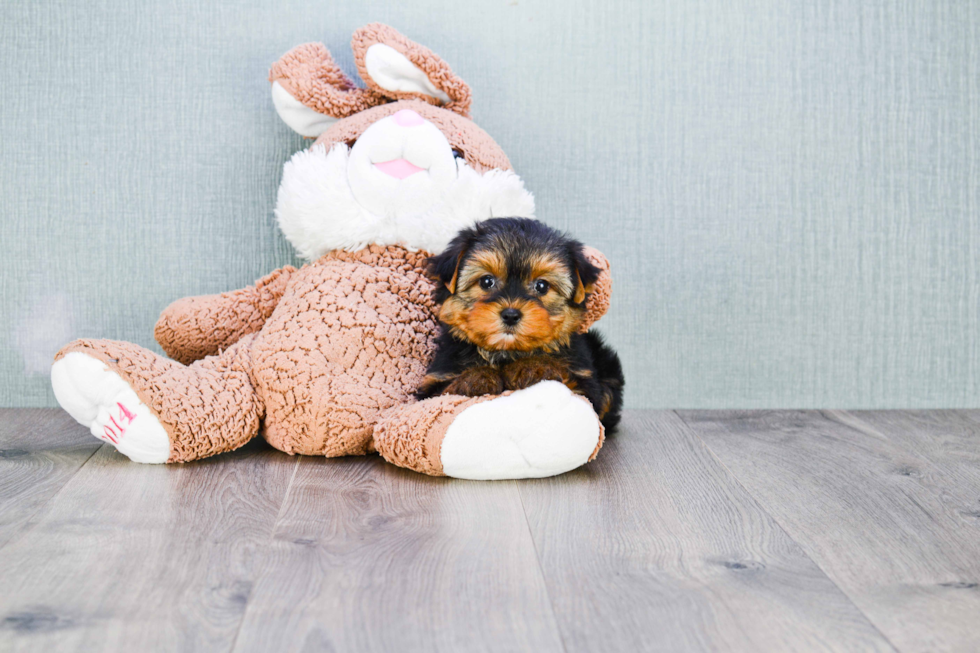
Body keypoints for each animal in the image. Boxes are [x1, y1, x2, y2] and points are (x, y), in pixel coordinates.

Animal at [418, 216, 624, 430]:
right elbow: (445, 391)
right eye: (486, 281)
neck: (507, 351)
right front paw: (476, 377)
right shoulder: (434, 385)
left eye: (542, 286)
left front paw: (534, 366)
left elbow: (570, 383)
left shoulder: (585, 384)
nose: (510, 315)